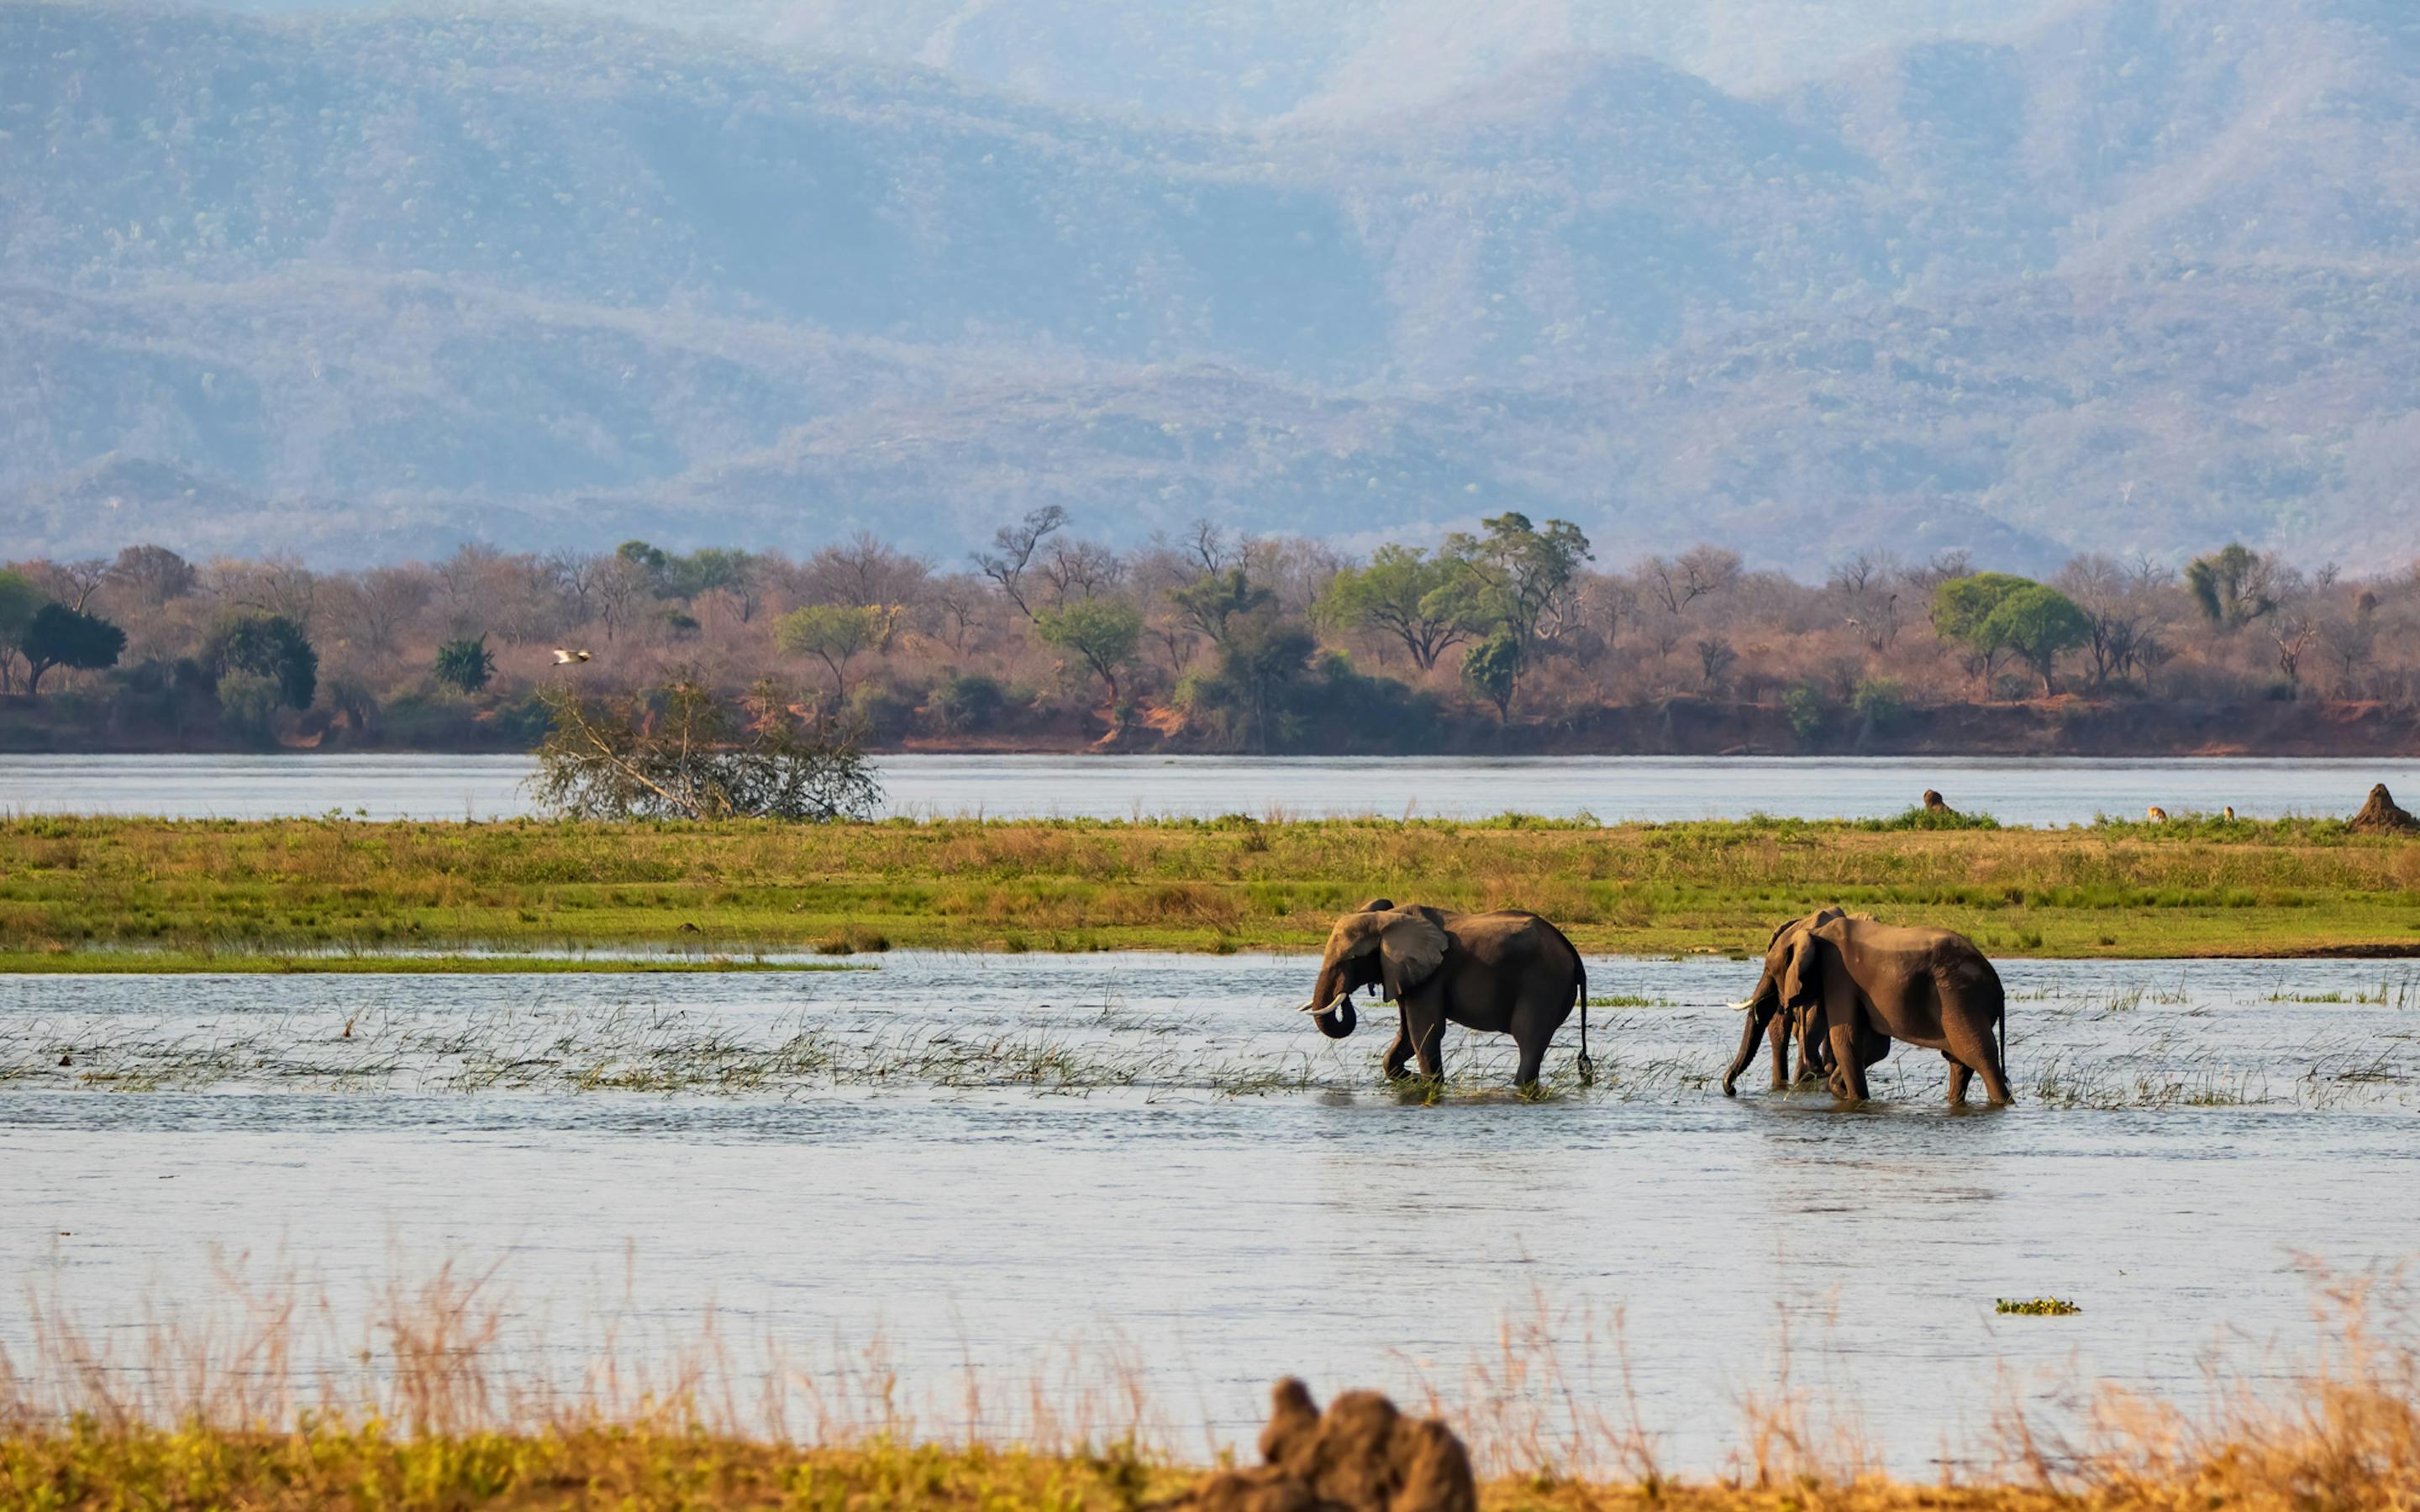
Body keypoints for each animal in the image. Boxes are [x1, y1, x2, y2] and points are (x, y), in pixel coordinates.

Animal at [1298, 899, 1591, 1089]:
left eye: (1352, 959)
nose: (1345, 996)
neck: (1386, 919)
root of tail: (1570, 949)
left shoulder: (1431, 976)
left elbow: (1424, 1031)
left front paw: (1432, 1085)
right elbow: (1406, 1035)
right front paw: (1413, 1080)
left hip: (1543, 983)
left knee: (1528, 1038)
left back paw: (1519, 1086)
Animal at [1721, 908, 2011, 1105]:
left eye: (1769, 970)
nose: (1731, 1089)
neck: (1814, 934)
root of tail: (1996, 984)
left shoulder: (1839, 974)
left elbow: (1845, 1040)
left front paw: (1852, 1096)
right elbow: (1874, 1046)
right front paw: (1838, 1086)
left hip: (1960, 999)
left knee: (1980, 1057)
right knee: (1959, 1062)